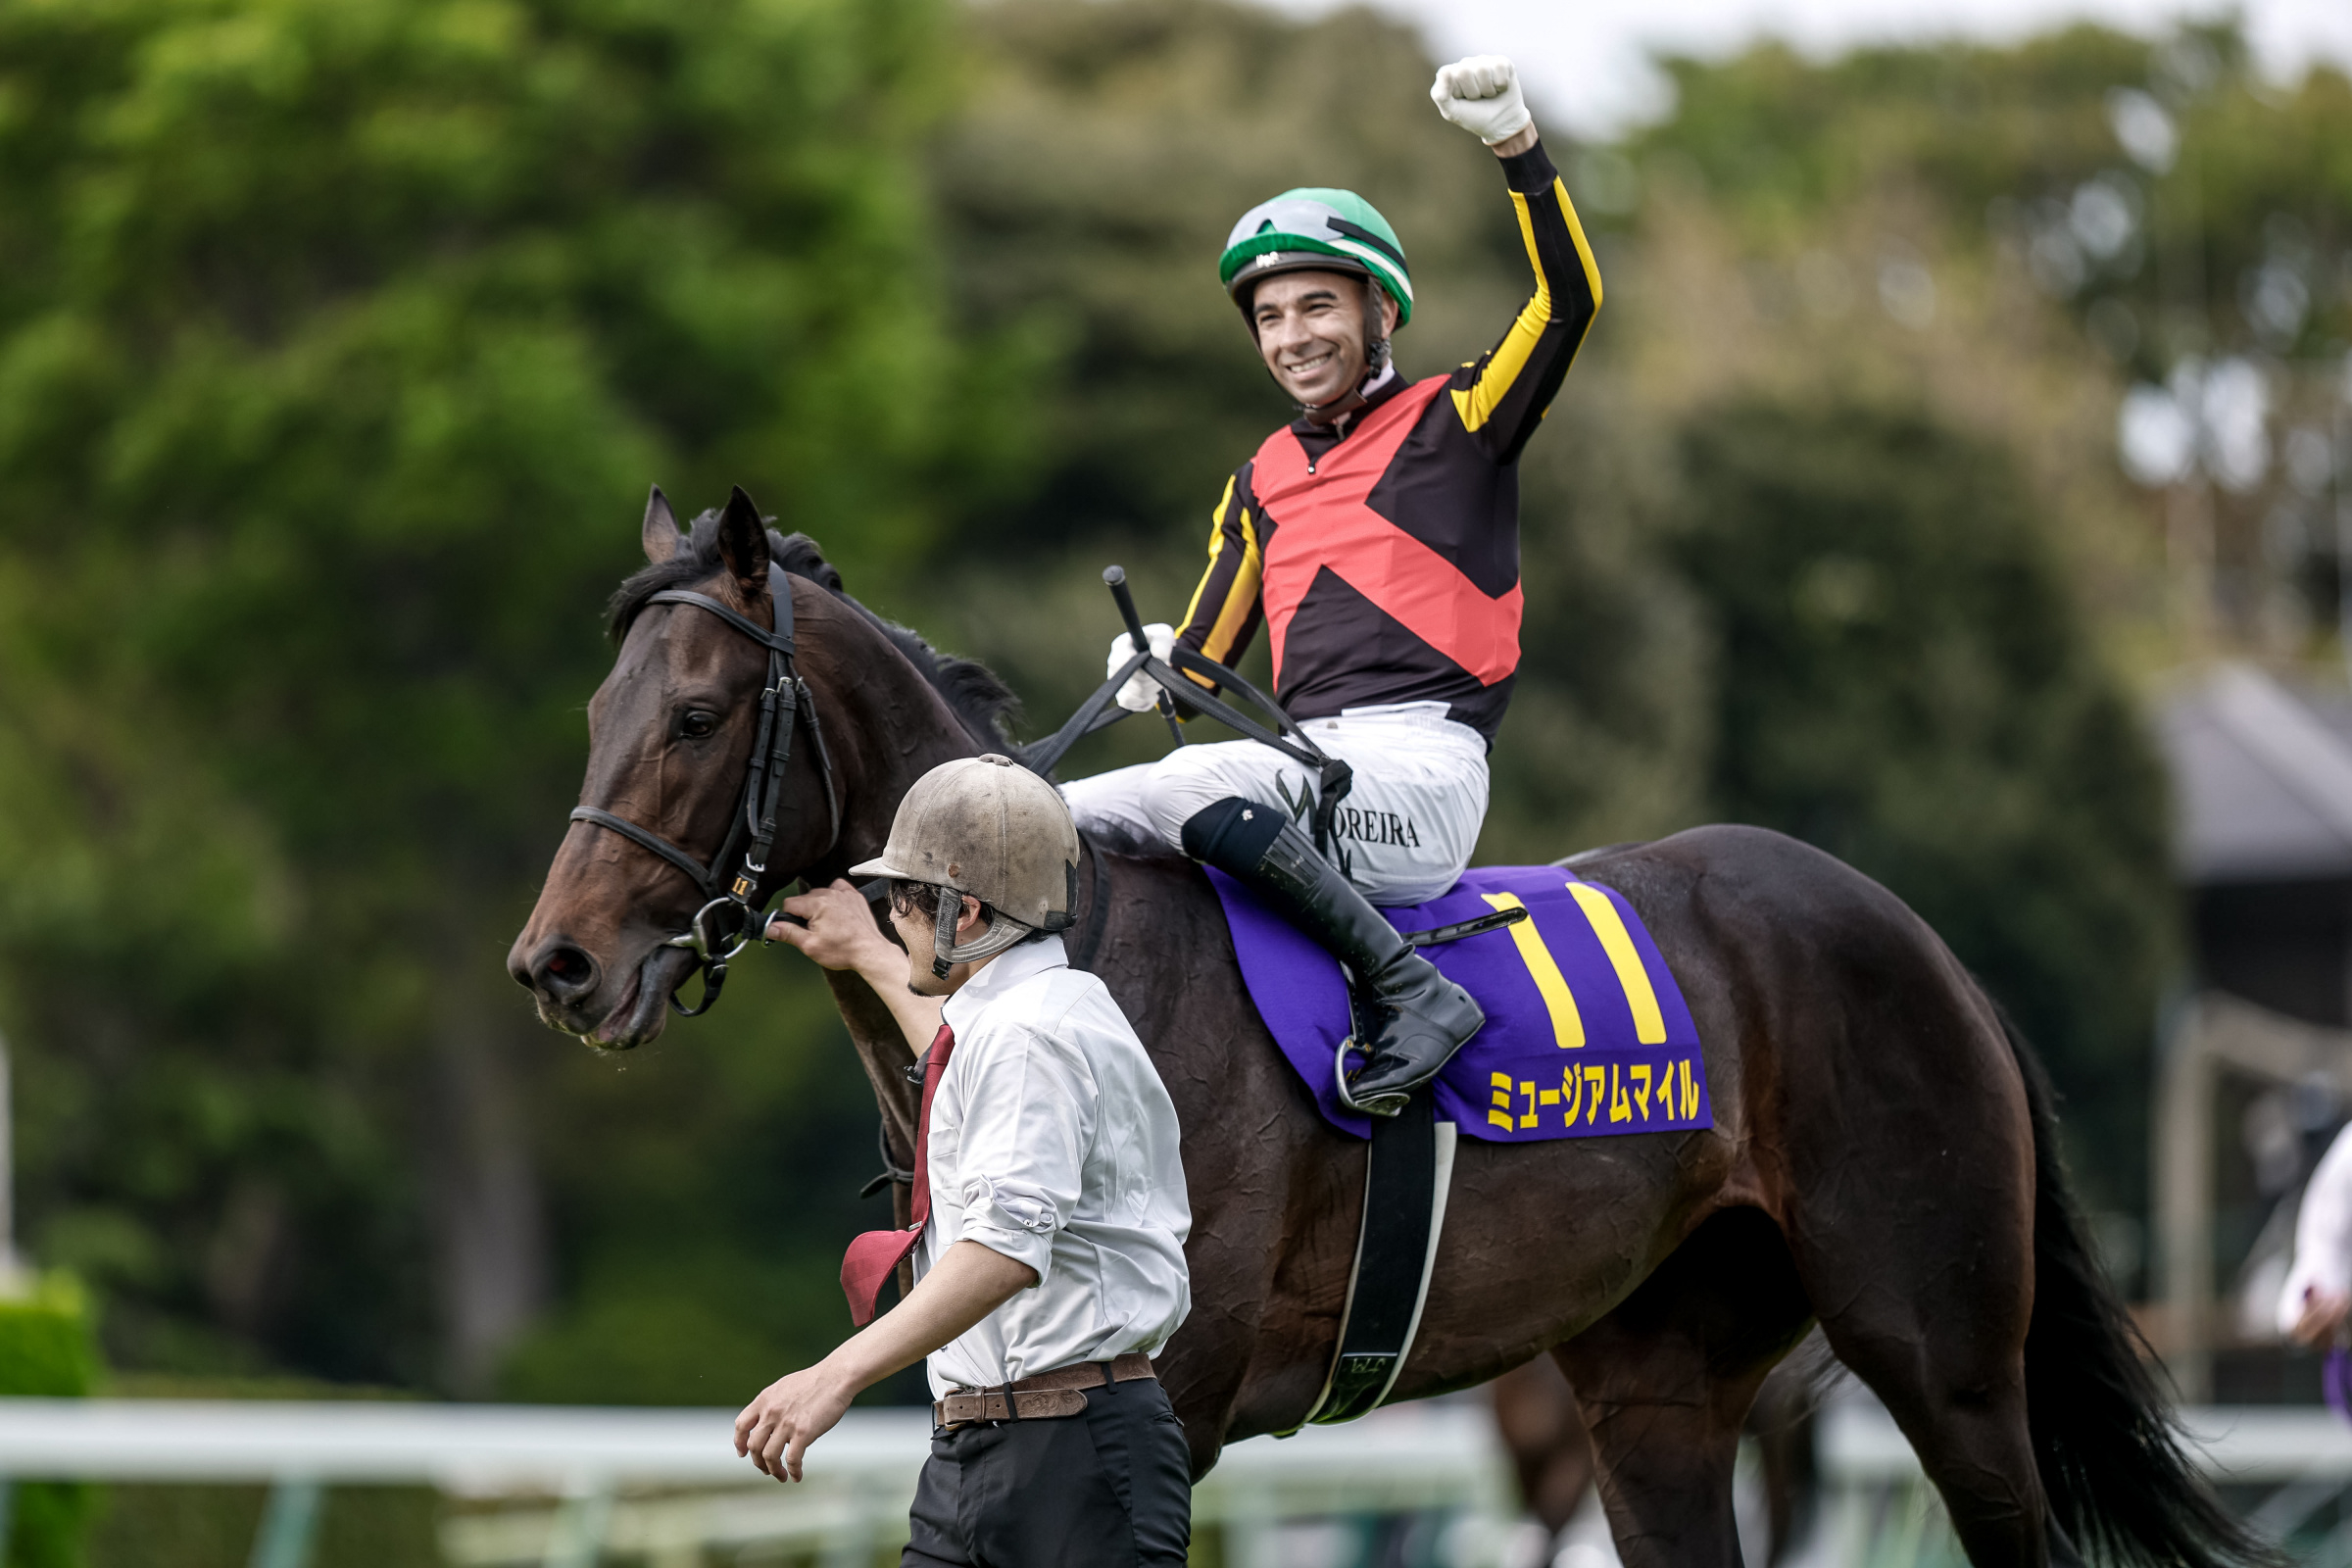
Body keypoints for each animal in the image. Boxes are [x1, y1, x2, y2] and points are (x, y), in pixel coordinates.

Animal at [509, 491, 2267, 1568]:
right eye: (597, 712)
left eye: (694, 715)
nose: (560, 967)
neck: (1058, 950)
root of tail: (1919, 941)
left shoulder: (1179, 1395)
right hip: (1659, 1391)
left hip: (1946, 1358)